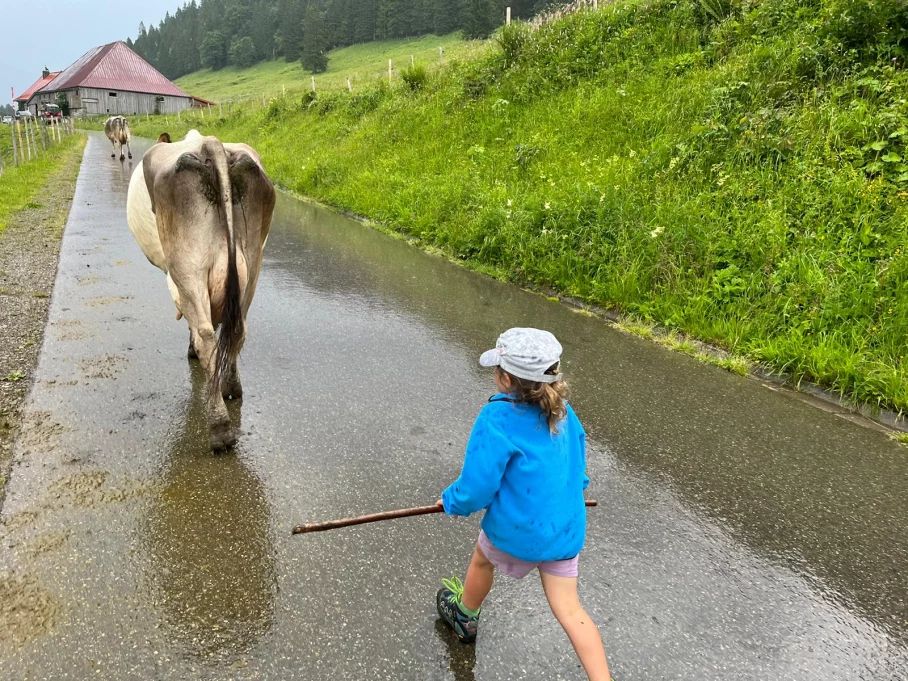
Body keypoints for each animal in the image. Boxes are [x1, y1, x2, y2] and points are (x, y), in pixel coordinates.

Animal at [123, 130, 276, 448]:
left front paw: (190, 349)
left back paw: (220, 428)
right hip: (252, 264)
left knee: (207, 334)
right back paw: (231, 388)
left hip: (187, 266)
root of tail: (211, 144)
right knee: (237, 329)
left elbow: (190, 320)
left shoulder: (174, 279)